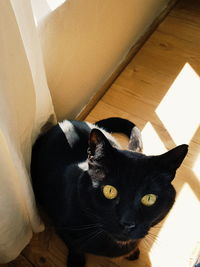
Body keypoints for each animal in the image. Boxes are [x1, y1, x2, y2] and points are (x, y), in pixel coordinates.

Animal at [30, 118, 188, 266]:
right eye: (109, 191)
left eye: (149, 198)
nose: (127, 223)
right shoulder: (62, 228)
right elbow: (75, 247)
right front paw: (76, 262)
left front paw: (133, 252)